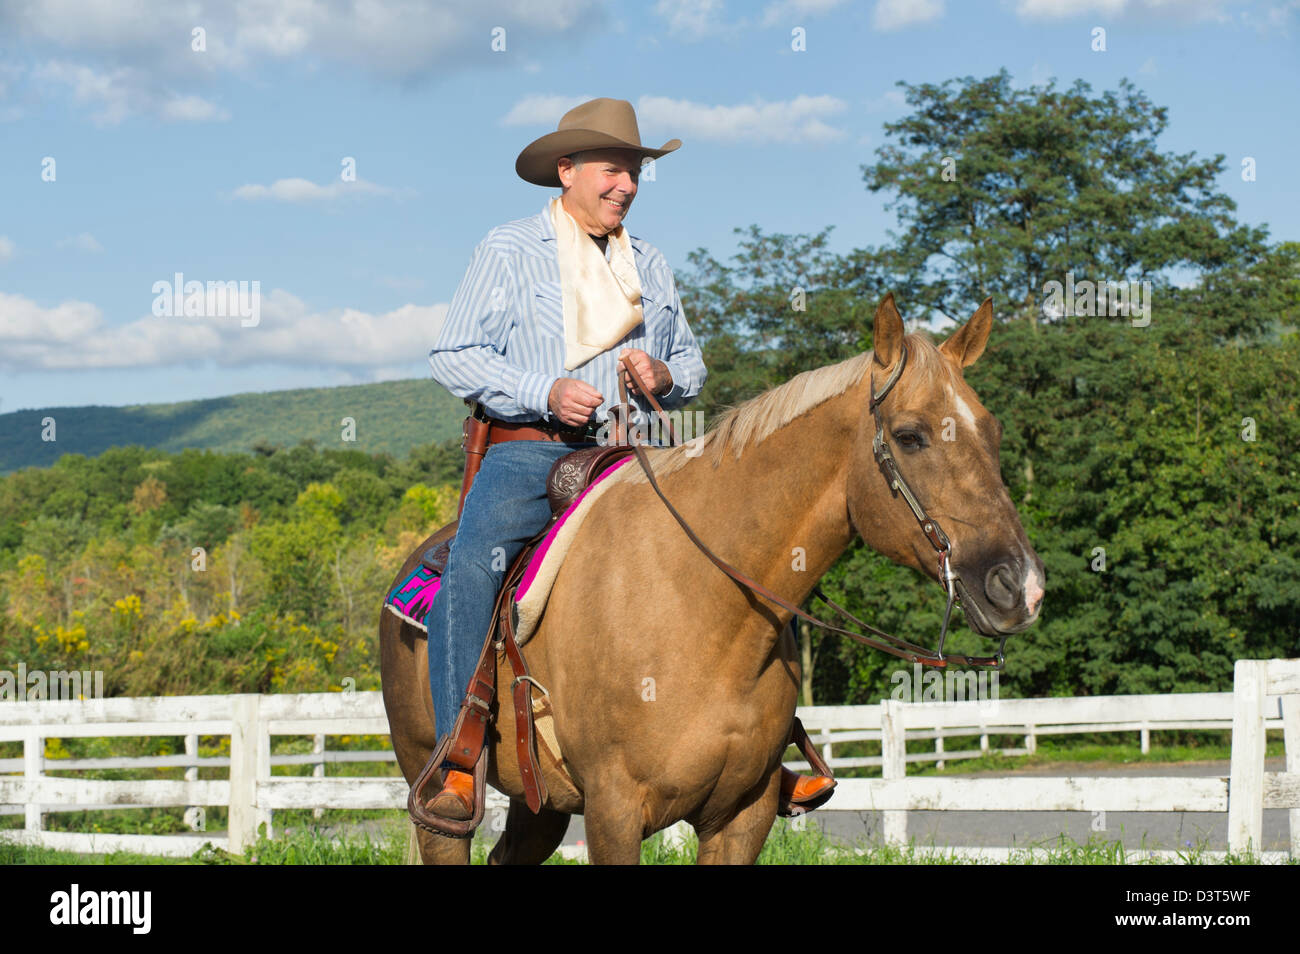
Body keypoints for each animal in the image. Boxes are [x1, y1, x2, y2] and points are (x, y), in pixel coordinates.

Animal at [379, 293, 1045, 868]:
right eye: (910, 436)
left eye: (993, 431)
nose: (1022, 587)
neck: (704, 605)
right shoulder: (615, 811)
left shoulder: (742, 816)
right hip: (435, 793)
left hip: (538, 806)